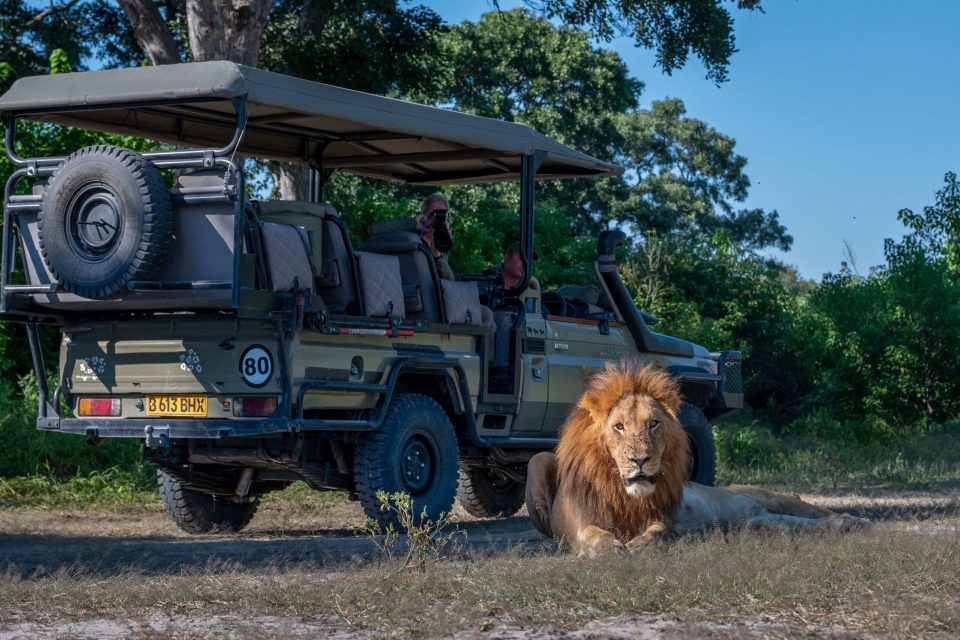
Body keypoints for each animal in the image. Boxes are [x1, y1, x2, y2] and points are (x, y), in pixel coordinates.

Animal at [526, 361, 867, 556]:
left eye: (653, 423)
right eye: (619, 426)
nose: (641, 459)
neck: (621, 491)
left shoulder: (661, 519)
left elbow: (657, 534)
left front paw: (636, 546)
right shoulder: (578, 524)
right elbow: (593, 536)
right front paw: (611, 549)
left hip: (772, 499)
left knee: (811, 507)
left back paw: (857, 521)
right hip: (766, 523)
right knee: (807, 524)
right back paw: (845, 524)